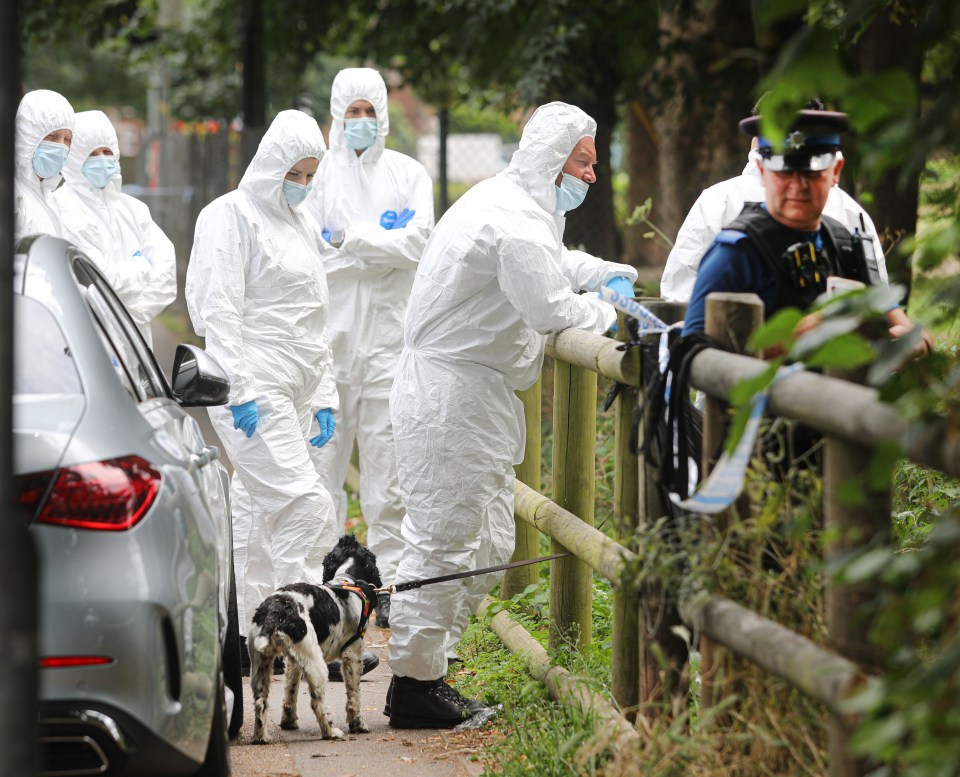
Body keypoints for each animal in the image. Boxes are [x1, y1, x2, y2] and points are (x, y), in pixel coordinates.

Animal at [249, 532, 380, 744]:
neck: (346, 579)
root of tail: (276, 611)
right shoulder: (352, 654)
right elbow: (354, 696)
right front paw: (358, 724)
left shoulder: (293, 661)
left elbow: (290, 694)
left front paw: (288, 722)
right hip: (317, 666)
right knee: (316, 702)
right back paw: (330, 732)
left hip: (262, 665)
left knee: (261, 703)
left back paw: (261, 737)